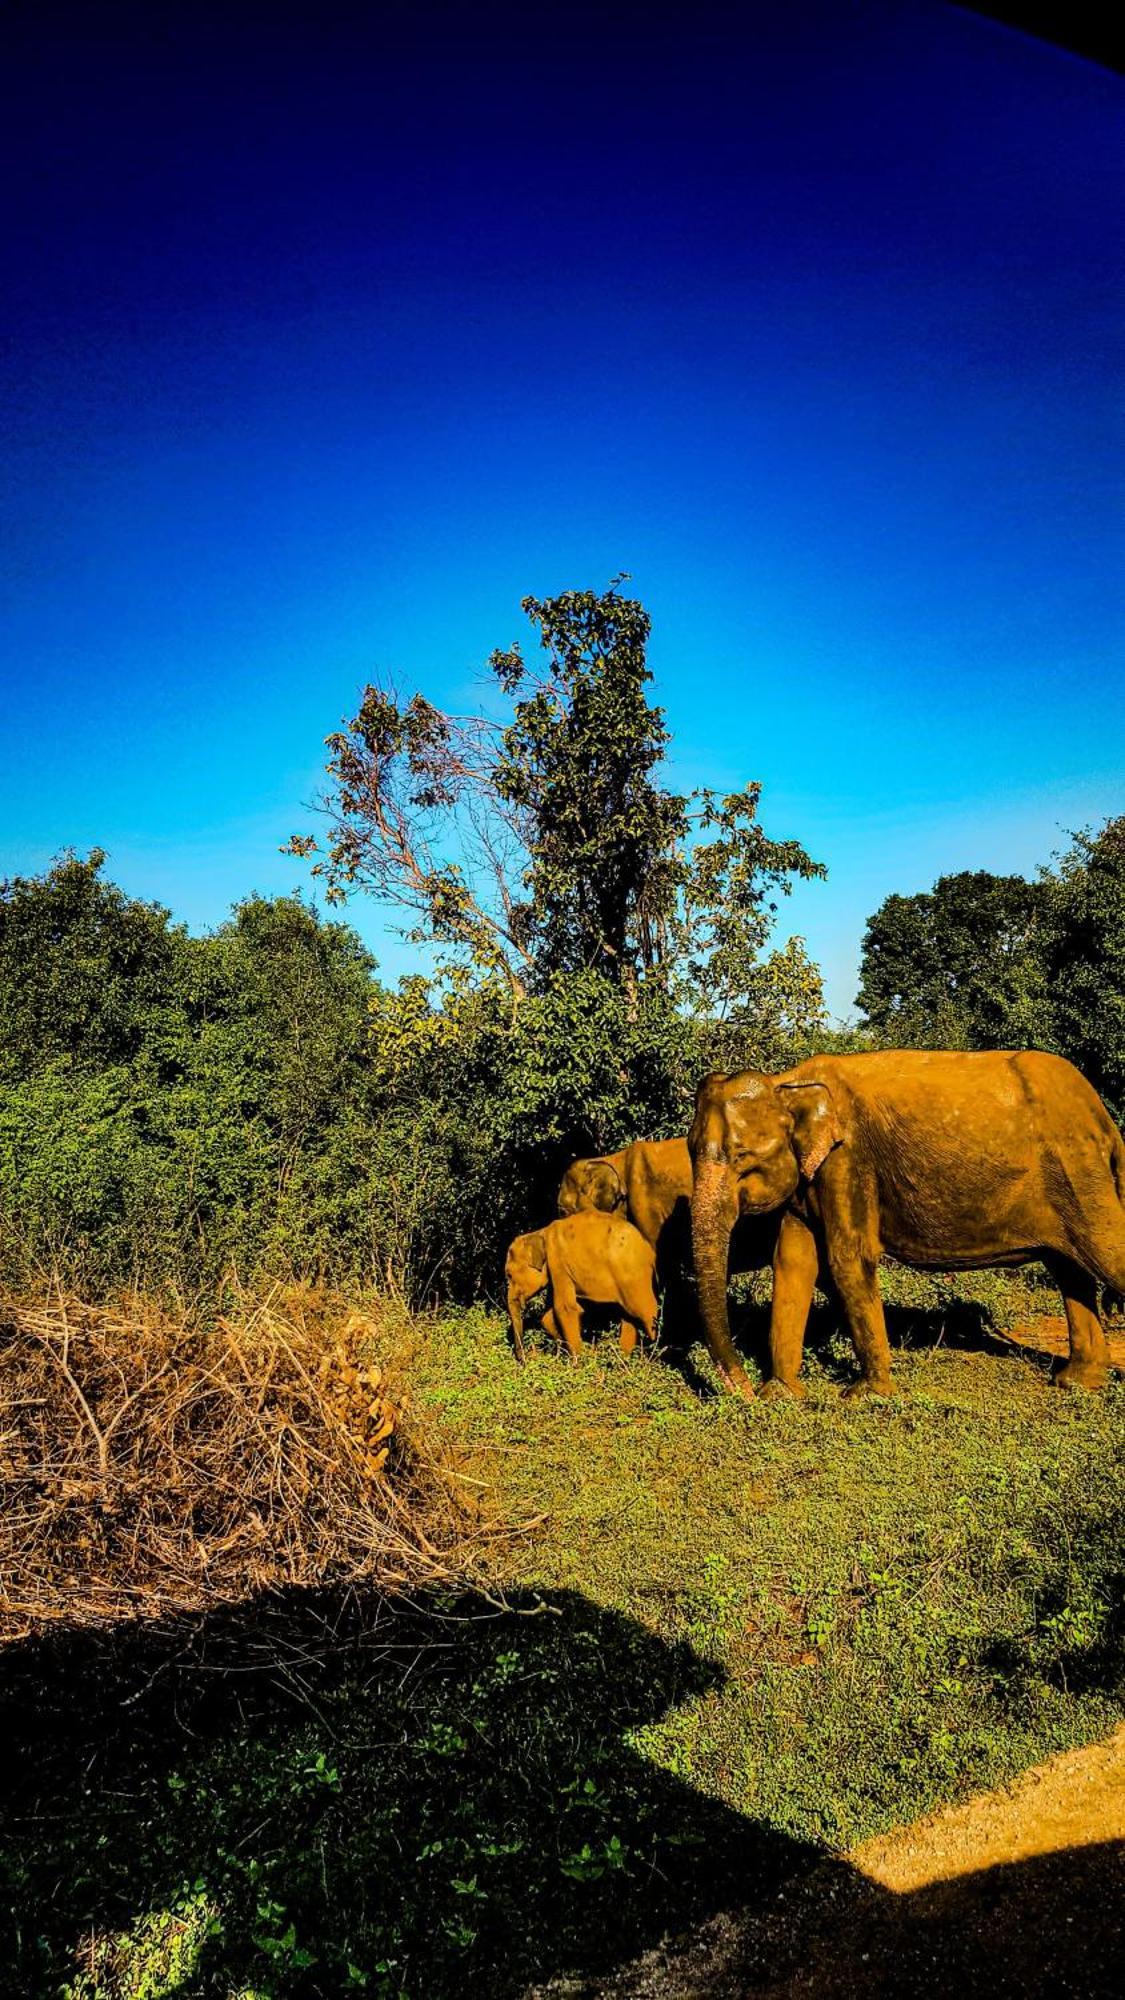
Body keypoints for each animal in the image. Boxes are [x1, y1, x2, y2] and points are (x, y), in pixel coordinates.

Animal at [500, 1208, 652, 1368]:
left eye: (509, 1275)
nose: (524, 1361)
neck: (540, 1232)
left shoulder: (557, 1260)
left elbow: (565, 1308)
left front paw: (577, 1364)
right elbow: (548, 1316)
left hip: (633, 1274)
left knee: (646, 1313)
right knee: (629, 1317)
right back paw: (623, 1363)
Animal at [688, 1056, 1120, 1400]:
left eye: (742, 1158)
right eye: (691, 1151)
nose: (742, 1392)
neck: (788, 1083)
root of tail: (1101, 1114)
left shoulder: (849, 1160)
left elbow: (848, 1258)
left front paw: (865, 1395)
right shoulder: (810, 1177)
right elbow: (793, 1262)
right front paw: (780, 1394)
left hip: (1079, 1169)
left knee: (1104, 1254)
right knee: (1070, 1270)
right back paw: (1077, 1382)